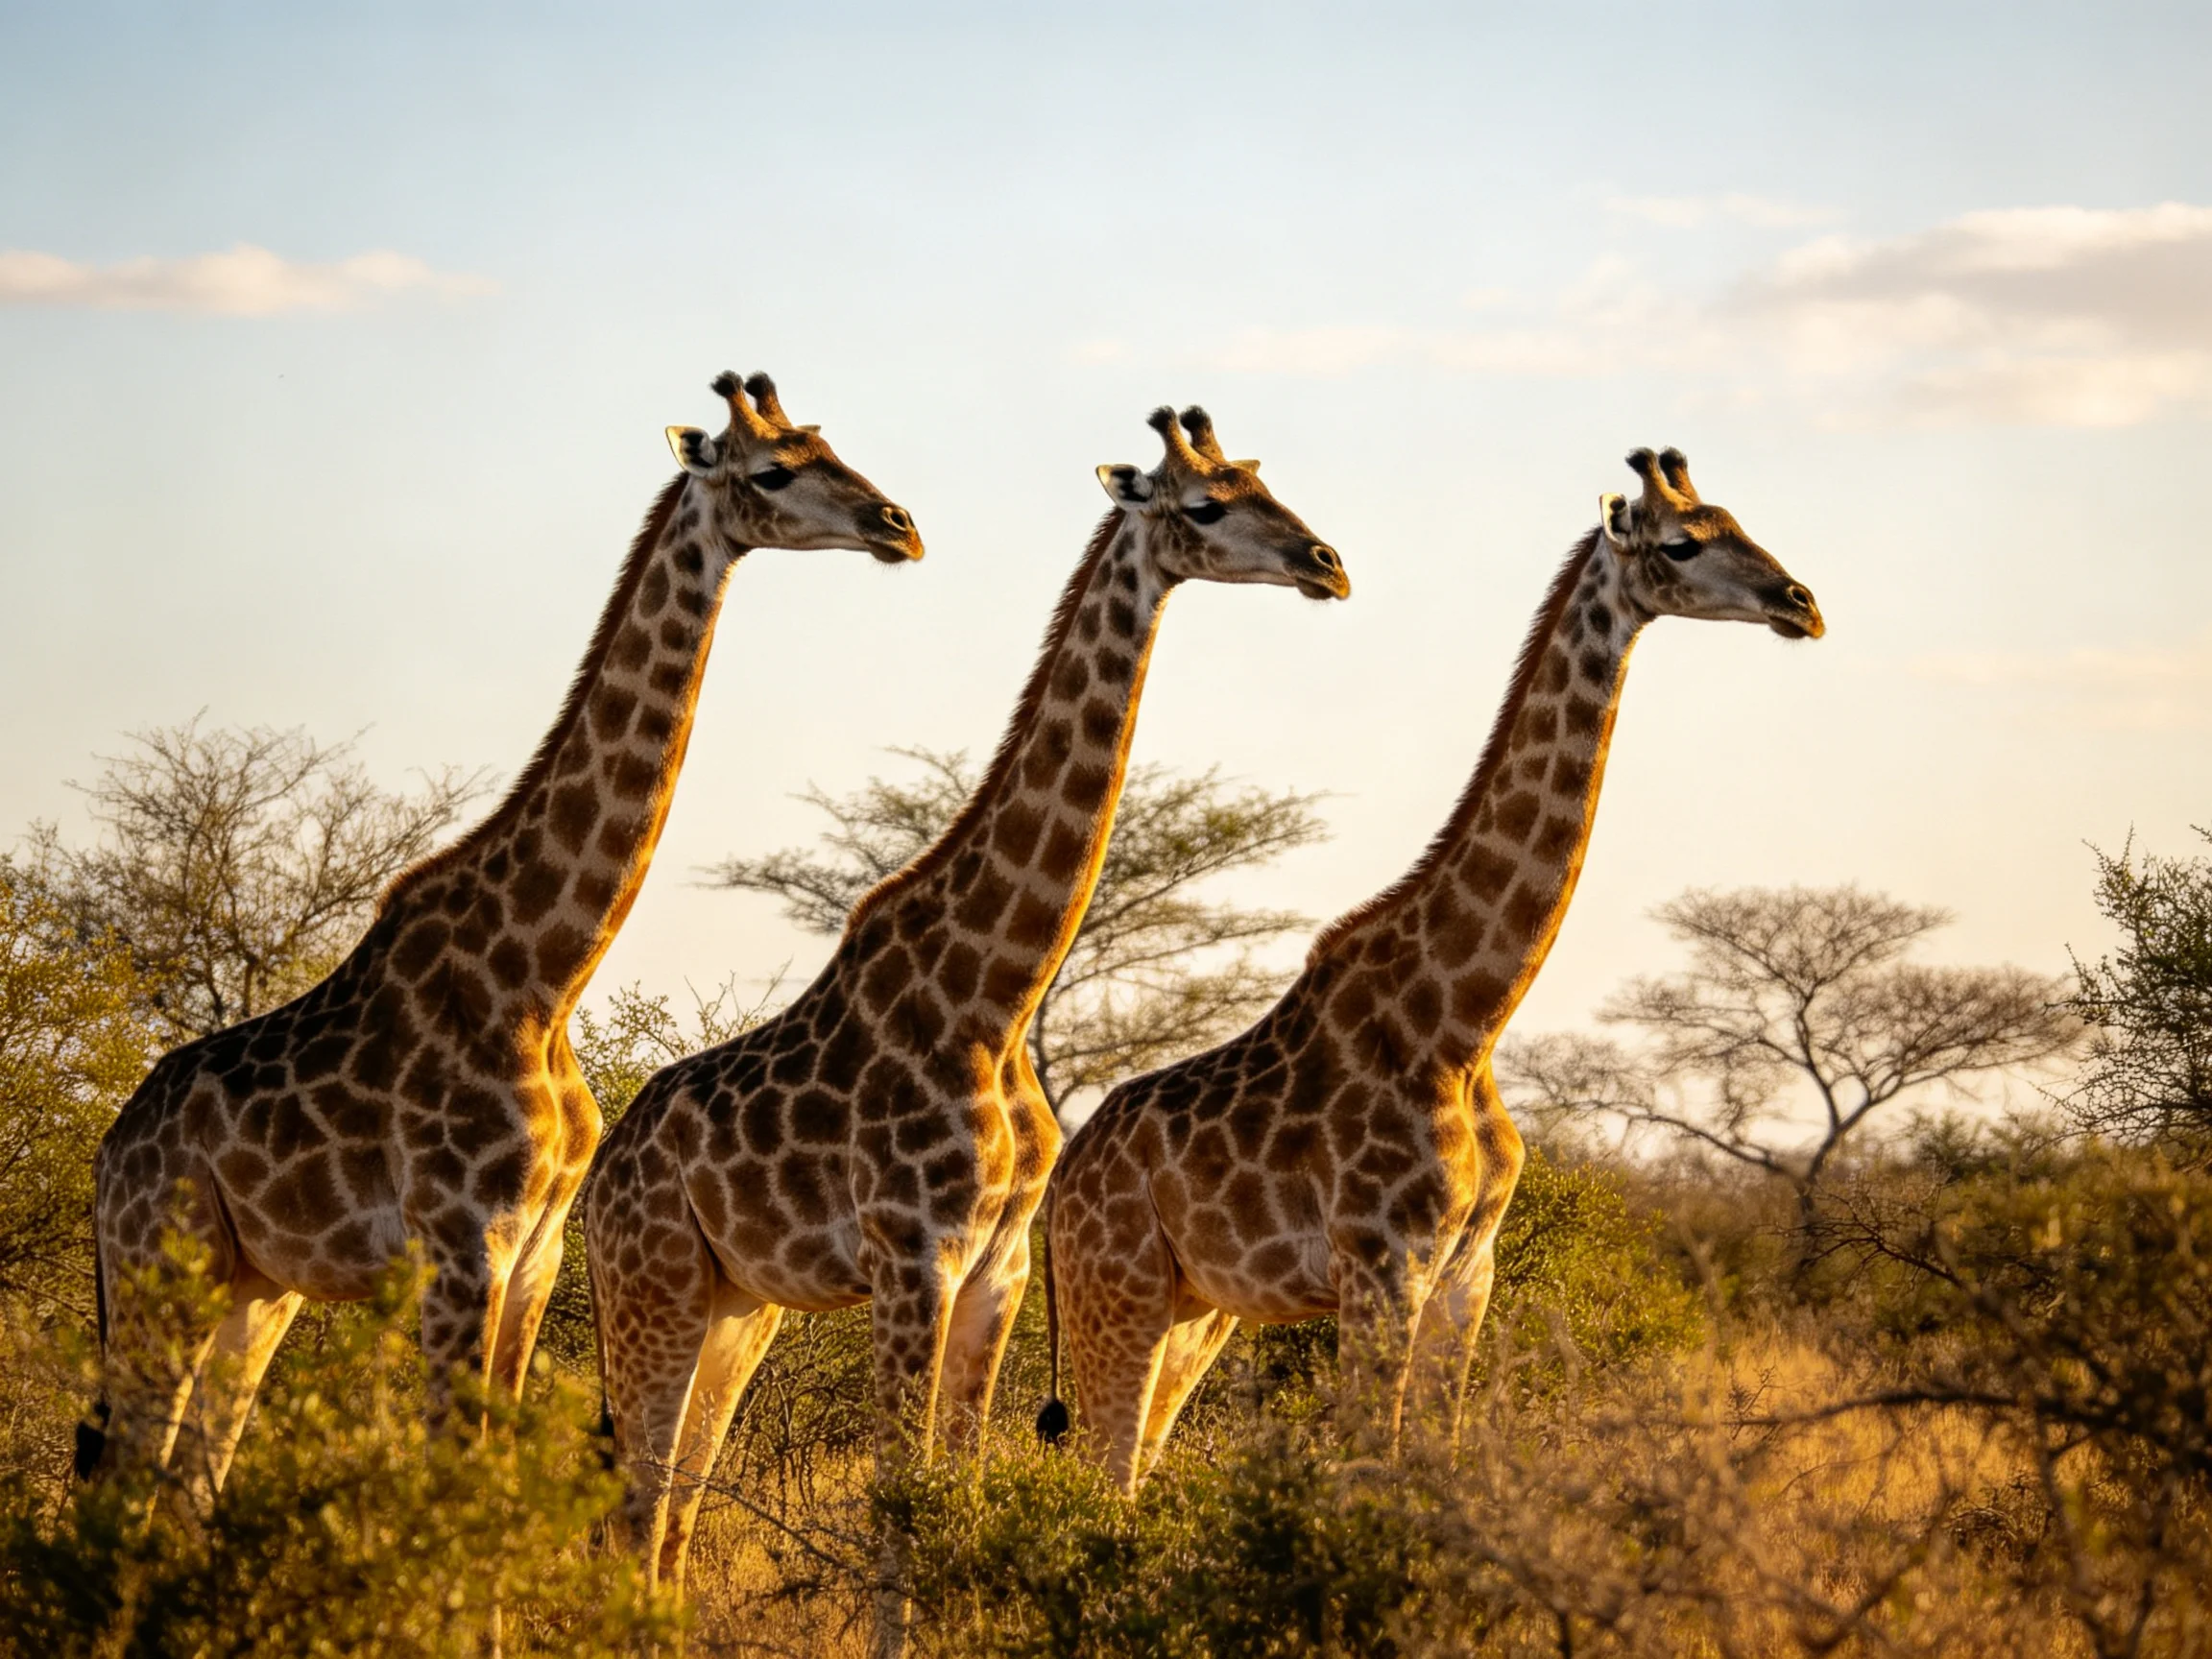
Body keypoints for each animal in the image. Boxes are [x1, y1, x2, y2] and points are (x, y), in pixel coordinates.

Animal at [82, 371, 923, 1505]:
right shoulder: (459, 1244)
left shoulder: (537, 1254)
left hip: (254, 1288)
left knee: (186, 1473)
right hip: (159, 1270)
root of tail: (105, 1161)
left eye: (828, 443)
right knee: (132, 1462)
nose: (899, 526)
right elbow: (455, 1465)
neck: (543, 976)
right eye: (774, 470)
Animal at [584, 405, 1350, 1605]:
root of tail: (595, 1187)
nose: (1328, 563)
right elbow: (901, 1504)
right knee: (638, 1503)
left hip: (733, 1306)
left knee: (670, 1510)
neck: (995, 997)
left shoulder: (1000, 1264)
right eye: (1208, 505)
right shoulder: (915, 1258)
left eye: (1261, 480)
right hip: (650, 1284)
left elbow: (958, 1488)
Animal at [1038, 447, 1825, 1491]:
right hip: (1115, 1290)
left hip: (1195, 1310)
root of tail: (1060, 1185)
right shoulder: (1383, 1269)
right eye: (1683, 543)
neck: (1465, 1023)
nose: (1801, 602)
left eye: (1737, 521)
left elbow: (1434, 1461)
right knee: (1105, 1469)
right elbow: (1371, 1461)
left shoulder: (1468, 1275)